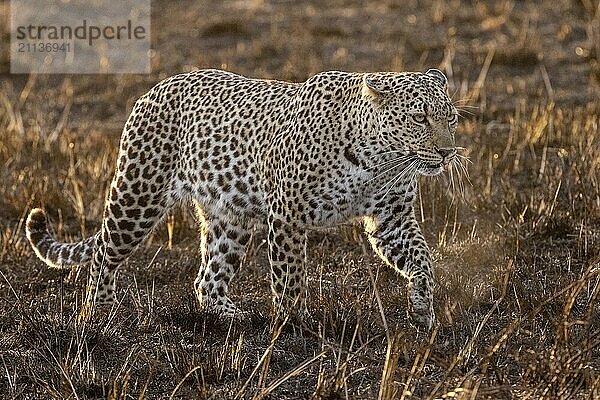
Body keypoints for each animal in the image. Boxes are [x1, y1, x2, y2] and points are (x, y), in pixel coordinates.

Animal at [25, 69, 460, 332]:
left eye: (451, 118)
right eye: (420, 118)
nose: (446, 152)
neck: (379, 161)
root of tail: (155, 88)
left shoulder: (392, 219)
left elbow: (422, 260)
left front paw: (424, 311)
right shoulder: (287, 215)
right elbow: (290, 277)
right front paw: (293, 324)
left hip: (229, 218)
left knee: (206, 278)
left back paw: (228, 316)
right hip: (138, 195)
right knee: (104, 252)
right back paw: (101, 311)